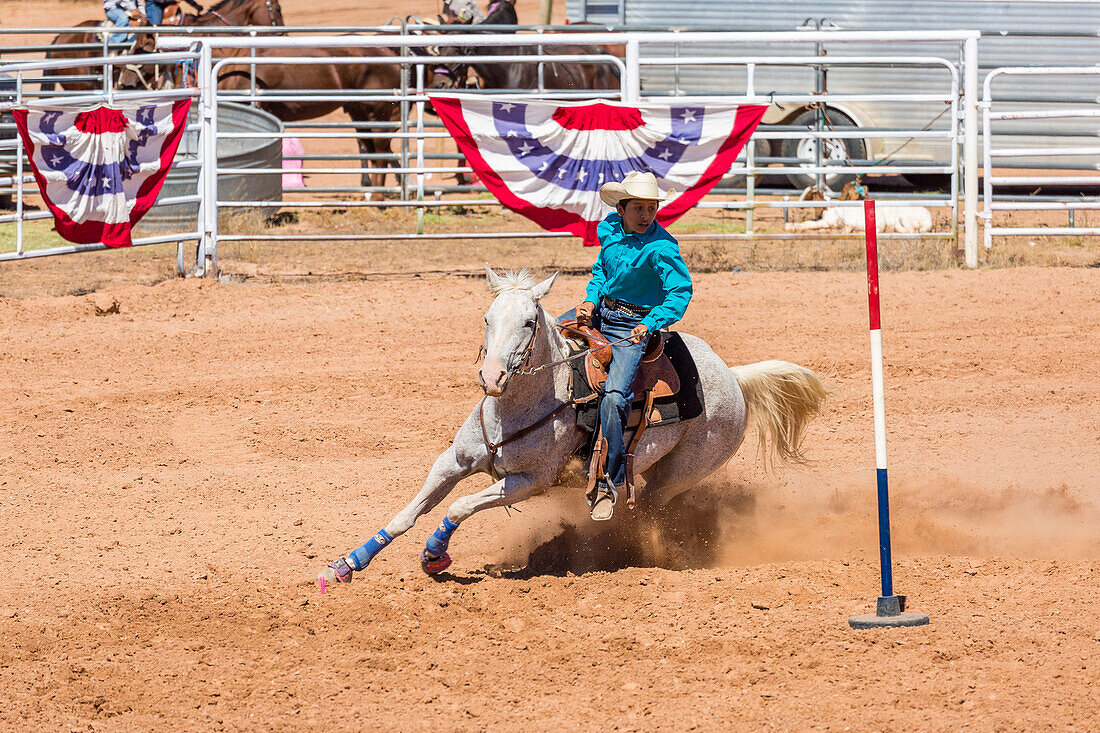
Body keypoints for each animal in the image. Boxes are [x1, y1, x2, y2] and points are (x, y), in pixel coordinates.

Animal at [321, 264, 827, 581]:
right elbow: (407, 513)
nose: (491, 378)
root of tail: (733, 377)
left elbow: (459, 507)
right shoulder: (453, 461)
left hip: (679, 473)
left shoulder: (528, 482)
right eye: (486, 317)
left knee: (646, 512)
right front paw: (348, 564)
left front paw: (434, 555)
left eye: (529, 322)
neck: (518, 408)